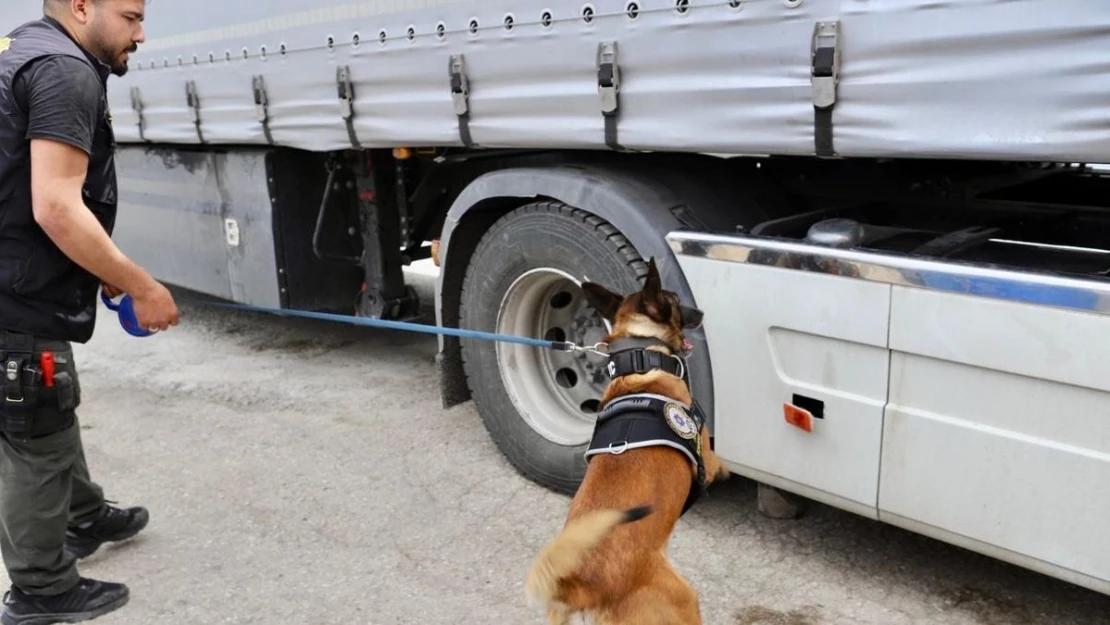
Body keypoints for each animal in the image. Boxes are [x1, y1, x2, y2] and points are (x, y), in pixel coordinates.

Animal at [526, 256, 728, 621]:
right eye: (675, 300)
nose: (701, 312)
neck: (640, 357)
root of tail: (579, 584)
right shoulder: (707, 452)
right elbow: (720, 461)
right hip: (683, 599)